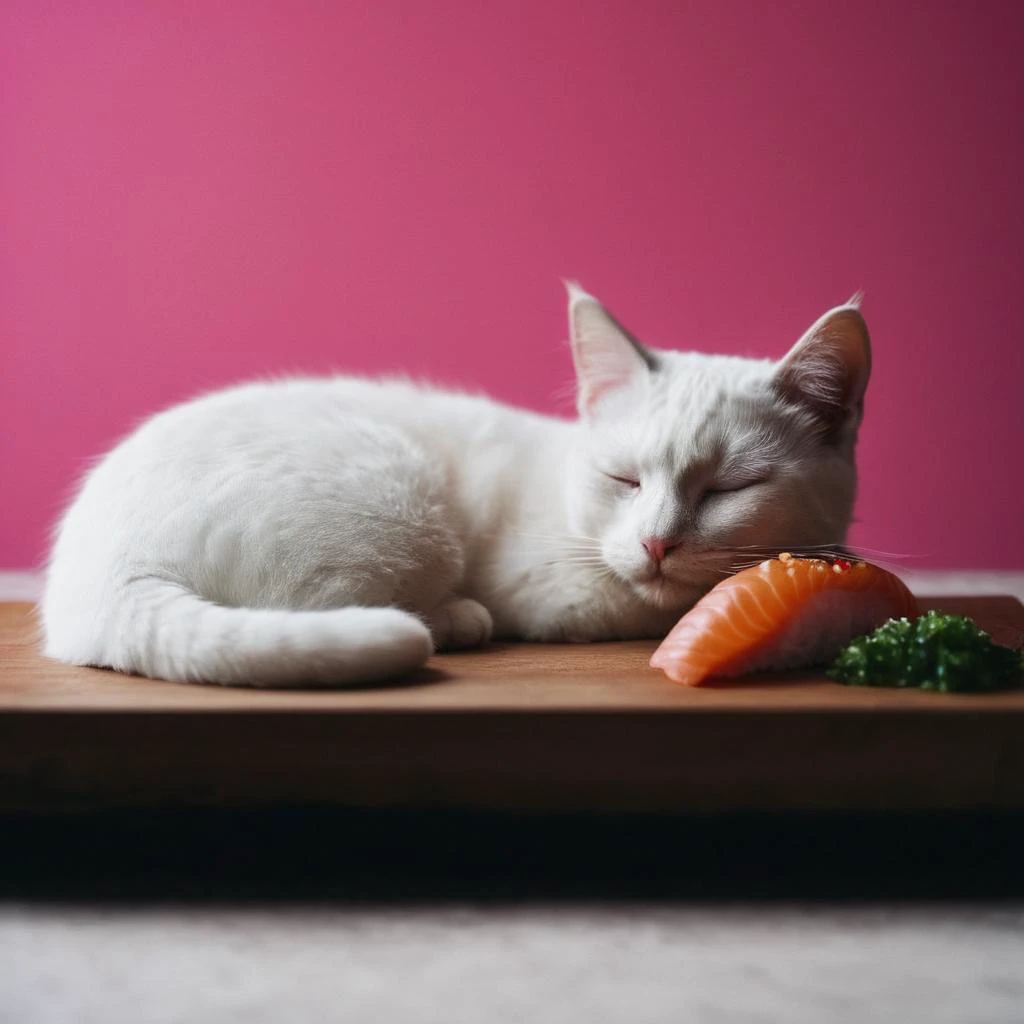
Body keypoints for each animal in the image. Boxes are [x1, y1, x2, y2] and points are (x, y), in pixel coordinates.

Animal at [41, 286, 872, 688]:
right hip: (398, 509)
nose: (657, 542)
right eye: (624, 478)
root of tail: (98, 581)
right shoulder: (556, 589)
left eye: (733, 486)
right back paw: (456, 618)